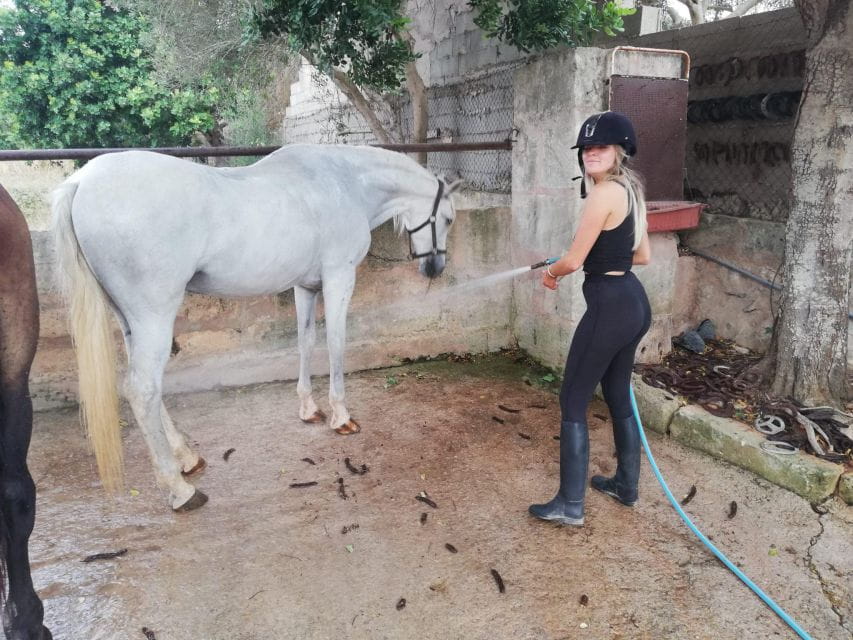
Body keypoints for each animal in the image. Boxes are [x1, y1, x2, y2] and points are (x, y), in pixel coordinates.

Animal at [52, 144, 460, 512]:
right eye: (449, 219)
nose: (435, 269)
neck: (346, 183)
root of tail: (81, 181)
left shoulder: (305, 286)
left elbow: (306, 341)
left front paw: (309, 408)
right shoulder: (338, 278)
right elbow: (336, 343)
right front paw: (341, 417)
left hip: (129, 321)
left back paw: (188, 458)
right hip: (154, 316)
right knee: (142, 390)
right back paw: (181, 491)